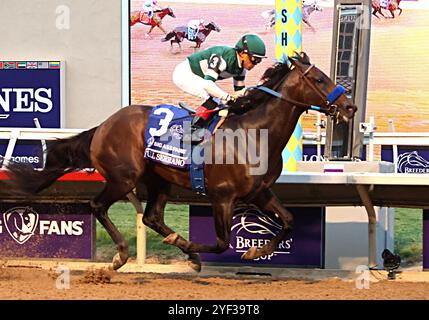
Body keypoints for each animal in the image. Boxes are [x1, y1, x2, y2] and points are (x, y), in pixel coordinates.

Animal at [5, 52, 354, 272]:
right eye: (319, 80)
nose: (349, 107)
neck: (253, 132)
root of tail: (103, 126)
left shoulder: (259, 192)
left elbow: (289, 221)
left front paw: (257, 249)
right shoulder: (222, 196)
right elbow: (221, 243)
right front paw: (195, 253)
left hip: (159, 181)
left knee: (151, 218)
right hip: (124, 178)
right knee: (98, 206)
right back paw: (121, 256)